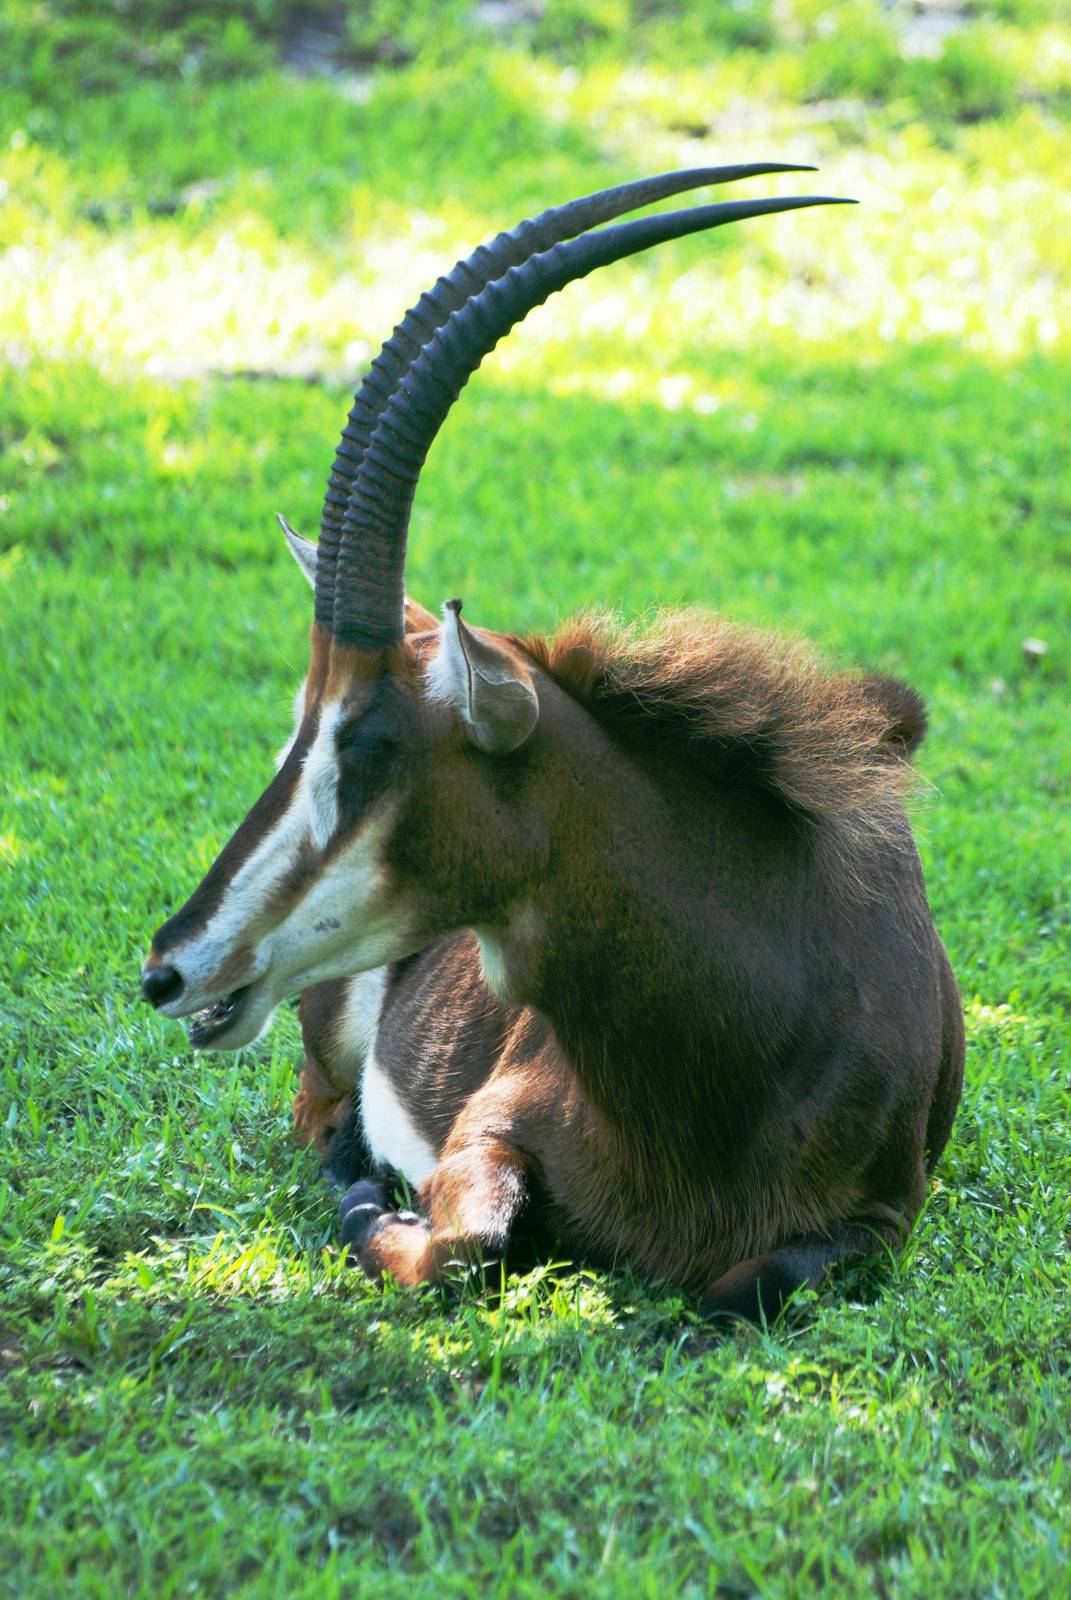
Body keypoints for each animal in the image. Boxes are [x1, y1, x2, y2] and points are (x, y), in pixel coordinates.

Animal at [142, 166, 964, 1321]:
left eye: (365, 747)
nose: (170, 969)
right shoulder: (484, 1129)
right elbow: (468, 1241)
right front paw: (374, 1201)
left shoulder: (884, 1218)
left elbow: (753, 1281)